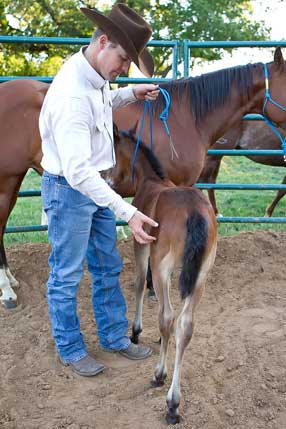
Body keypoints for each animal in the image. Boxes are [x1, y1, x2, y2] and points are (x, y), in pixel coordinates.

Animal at [109, 125, 217, 422]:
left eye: (112, 150)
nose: (106, 179)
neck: (151, 181)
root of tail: (194, 213)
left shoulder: (141, 246)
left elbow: (138, 283)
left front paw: (135, 332)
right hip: (202, 274)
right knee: (185, 325)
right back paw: (173, 402)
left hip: (162, 266)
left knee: (167, 316)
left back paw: (161, 379)